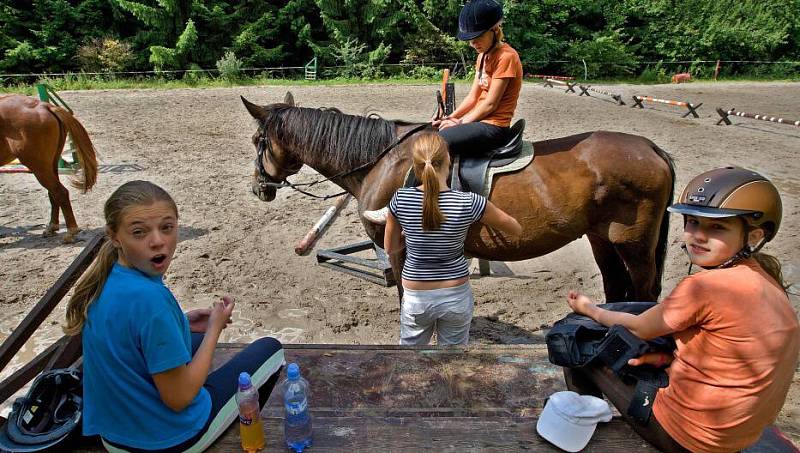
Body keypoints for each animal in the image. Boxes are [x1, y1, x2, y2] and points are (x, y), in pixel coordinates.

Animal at [0, 94, 98, 242]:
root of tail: (44, 106)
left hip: (38, 166)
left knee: (60, 192)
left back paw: (71, 232)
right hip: (50, 164)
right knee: (53, 193)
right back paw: (52, 227)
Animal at [239, 92, 676, 300]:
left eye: (258, 141)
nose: (259, 187)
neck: (381, 160)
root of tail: (652, 148)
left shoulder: (398, 248)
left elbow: (408, 297)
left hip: (634, 245)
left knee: (642, 294)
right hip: (603, 239)